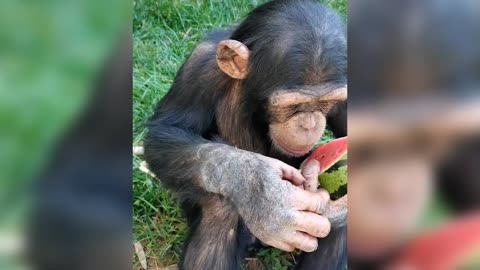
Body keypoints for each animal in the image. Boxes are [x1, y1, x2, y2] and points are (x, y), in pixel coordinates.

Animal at [144, 1, 346, 268]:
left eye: (326, 103)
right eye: (293, 106)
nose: (309, 123)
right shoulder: (199, 66)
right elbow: (166, 131)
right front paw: (260, 190)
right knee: (219, 208)